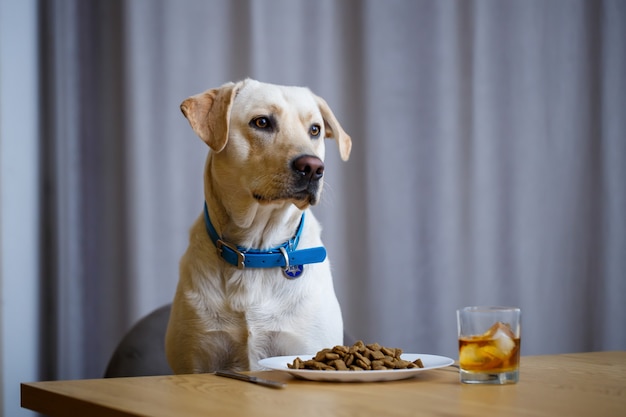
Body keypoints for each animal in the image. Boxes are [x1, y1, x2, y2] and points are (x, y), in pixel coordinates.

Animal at [166, 79, 352, 372]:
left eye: (315, 129)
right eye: (262, 122)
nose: (313, 167)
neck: (257, 250)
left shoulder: (304, 347)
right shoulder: (194, 360)